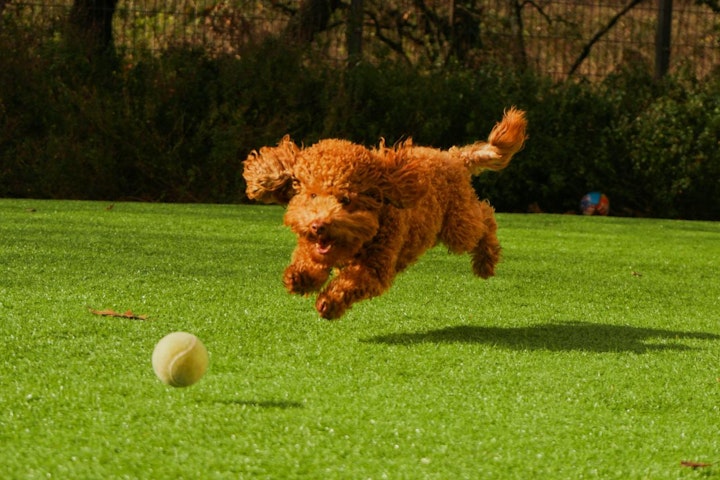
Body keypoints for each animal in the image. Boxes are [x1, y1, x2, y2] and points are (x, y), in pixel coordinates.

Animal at [245, 109, 524, 318]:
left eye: (346, 199)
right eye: (312, 194)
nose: (318, 225)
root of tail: (454, 157)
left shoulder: (375, 267)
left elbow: (350, 283)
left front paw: (329, 303)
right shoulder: (313, 247)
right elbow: (309, 261)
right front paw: (299, 277)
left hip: (458, 226)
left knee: (485, 217)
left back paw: (486, 261)